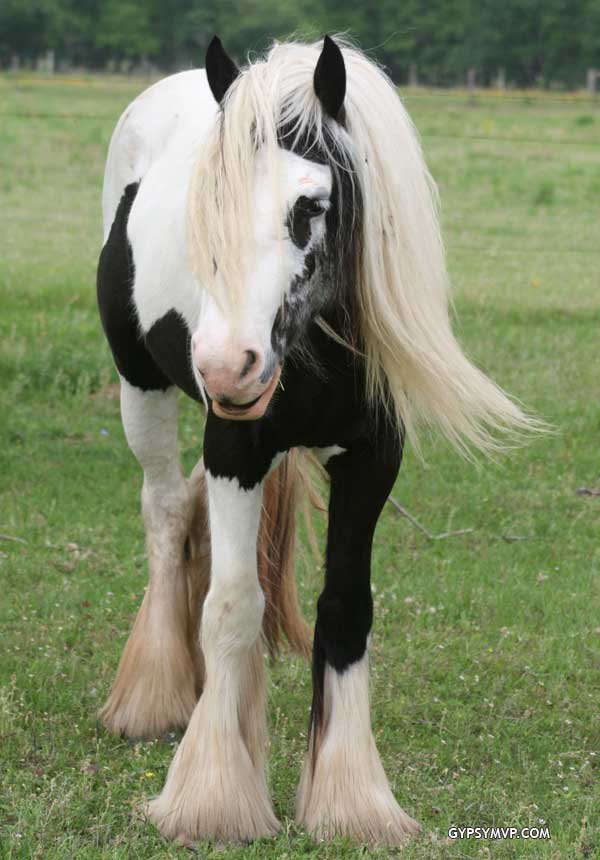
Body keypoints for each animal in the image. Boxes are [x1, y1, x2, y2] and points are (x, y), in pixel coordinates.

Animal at [95, 35, 536, 848]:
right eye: (211, 200)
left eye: (311, 205)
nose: (225, 367)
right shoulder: (236, 448)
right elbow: (232, 606)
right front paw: (212, 798)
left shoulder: (372, 461)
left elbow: (346, 610)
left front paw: (351, 801)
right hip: (141, 387)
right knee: (166, 515)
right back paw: (156, 695)